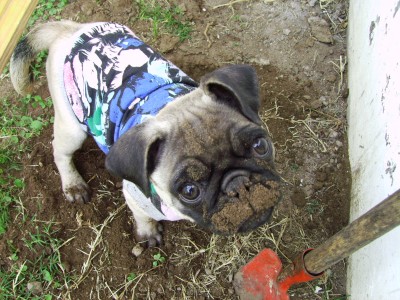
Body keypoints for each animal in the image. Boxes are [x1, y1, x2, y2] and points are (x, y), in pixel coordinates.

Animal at [8, 21, 278, 246]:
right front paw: (148, 233)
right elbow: (142, 218)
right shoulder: (135, 197)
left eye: (261, 146)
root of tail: (70, 29)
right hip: (72, 126)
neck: (167, 104)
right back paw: (73, 185)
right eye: (189, 191)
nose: (240, 184)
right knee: (60, 151)